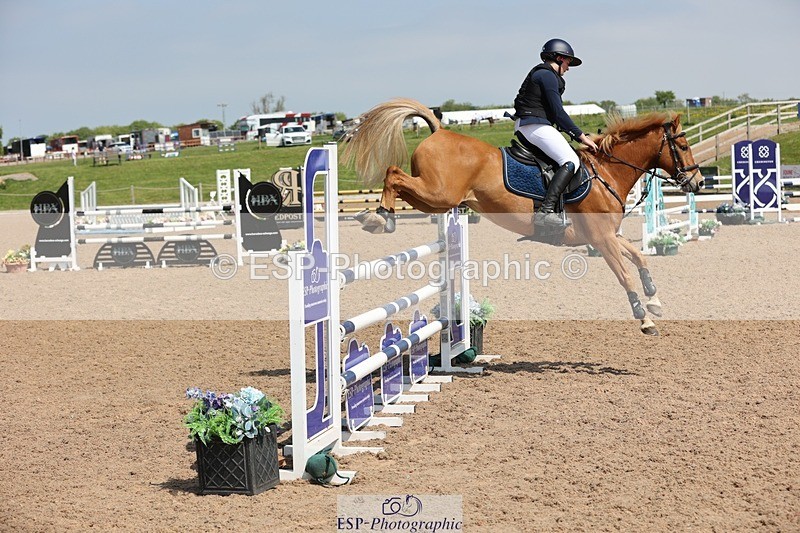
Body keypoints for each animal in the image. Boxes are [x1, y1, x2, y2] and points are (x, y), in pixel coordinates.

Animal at [341, 98, 702, 335]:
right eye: (683, 146)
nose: (697, 182)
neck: (607, 173)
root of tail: (438, 131)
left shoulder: (609, 236)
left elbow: (640, 257)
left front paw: (654, 299)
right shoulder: (602, 240)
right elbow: (624, 274)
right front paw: (645, 317)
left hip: (437, 201)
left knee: (399, 180)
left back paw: (380, 217)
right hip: (436, 194)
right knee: (393, 173)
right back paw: (378, 217)